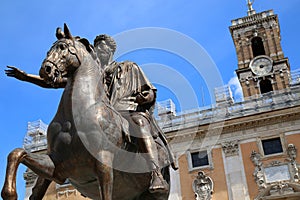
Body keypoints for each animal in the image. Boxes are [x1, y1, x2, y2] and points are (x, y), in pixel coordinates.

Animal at [1, 24, 171, 199]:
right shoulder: (56, 165)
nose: (45, 70)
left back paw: (157, 181)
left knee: (140, 123)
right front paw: (9, 193)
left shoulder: (103, 160)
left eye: (63, 47)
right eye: (50, 49)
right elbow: (17, 153)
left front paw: (143, 96)